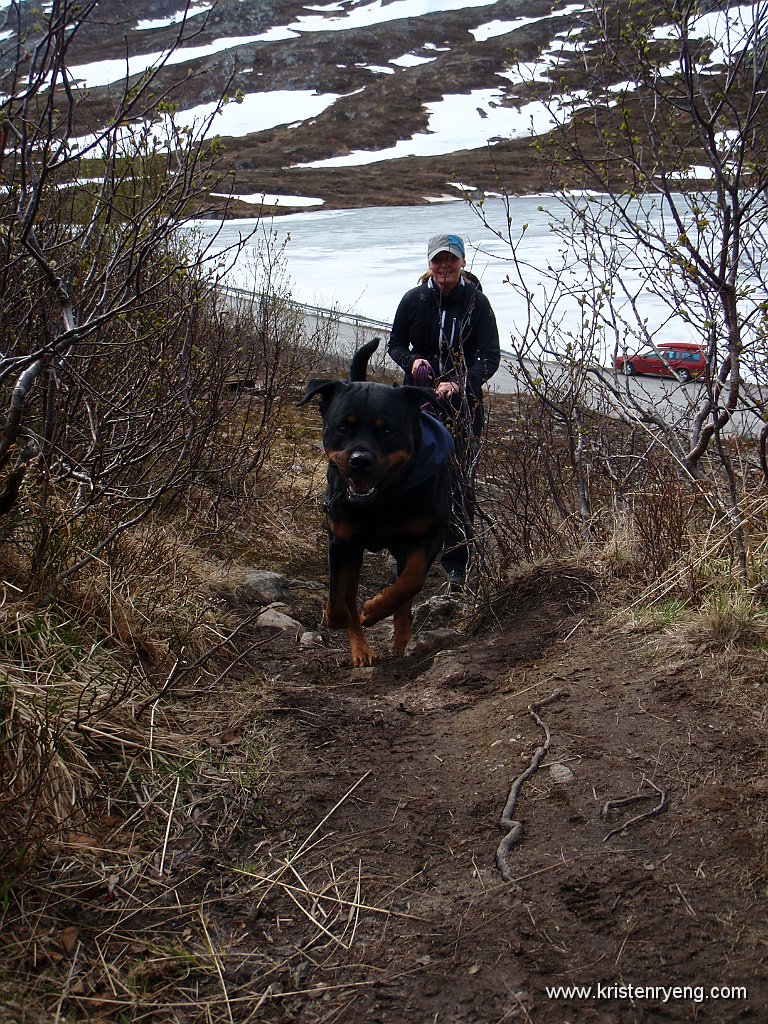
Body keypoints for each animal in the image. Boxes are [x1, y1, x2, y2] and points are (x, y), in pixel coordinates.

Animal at [301, 339, 454, 667]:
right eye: (342, 428)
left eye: (387, 430)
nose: (360, 460)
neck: (380, 501)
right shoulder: (342, 542)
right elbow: (339, 599)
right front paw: (342, 618)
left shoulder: (429, 535)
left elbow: (411, 583)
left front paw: (374, 610)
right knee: (349, 596)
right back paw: (362, 650)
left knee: (404, 596)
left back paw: (399, 639)